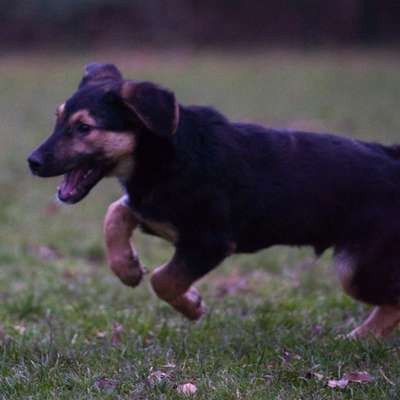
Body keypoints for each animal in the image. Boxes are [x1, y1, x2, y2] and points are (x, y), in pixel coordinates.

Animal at [28, 64, 400, 340]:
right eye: (57, 119)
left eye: (83, 128)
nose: (32, 162)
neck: (165, 153)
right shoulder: (149, 209)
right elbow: (115, 213)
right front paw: (127, 267)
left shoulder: (210, 241)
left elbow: (164, 279)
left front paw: (191, 305)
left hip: (356, 268)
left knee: (394, 301)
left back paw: (358, 339)